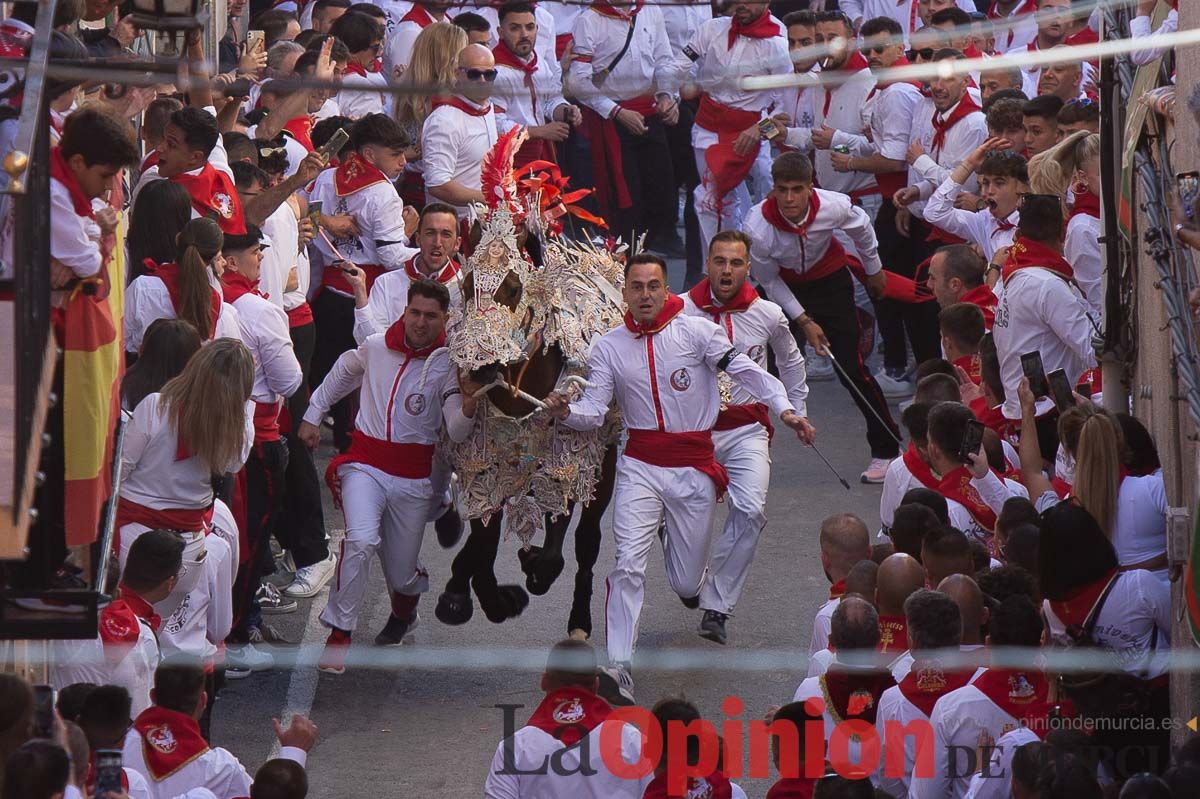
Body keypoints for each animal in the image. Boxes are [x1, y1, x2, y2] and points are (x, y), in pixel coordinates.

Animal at [439, 135, 628, 633]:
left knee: (586, 539)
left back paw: (578, 614)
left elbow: (560, 536)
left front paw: (534, 572)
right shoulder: (488, 461)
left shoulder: (573, 459)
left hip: (602, 461)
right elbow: (483, 535)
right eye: (465, 283)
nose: (479, 366)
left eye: (512, 287)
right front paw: (480, 597)